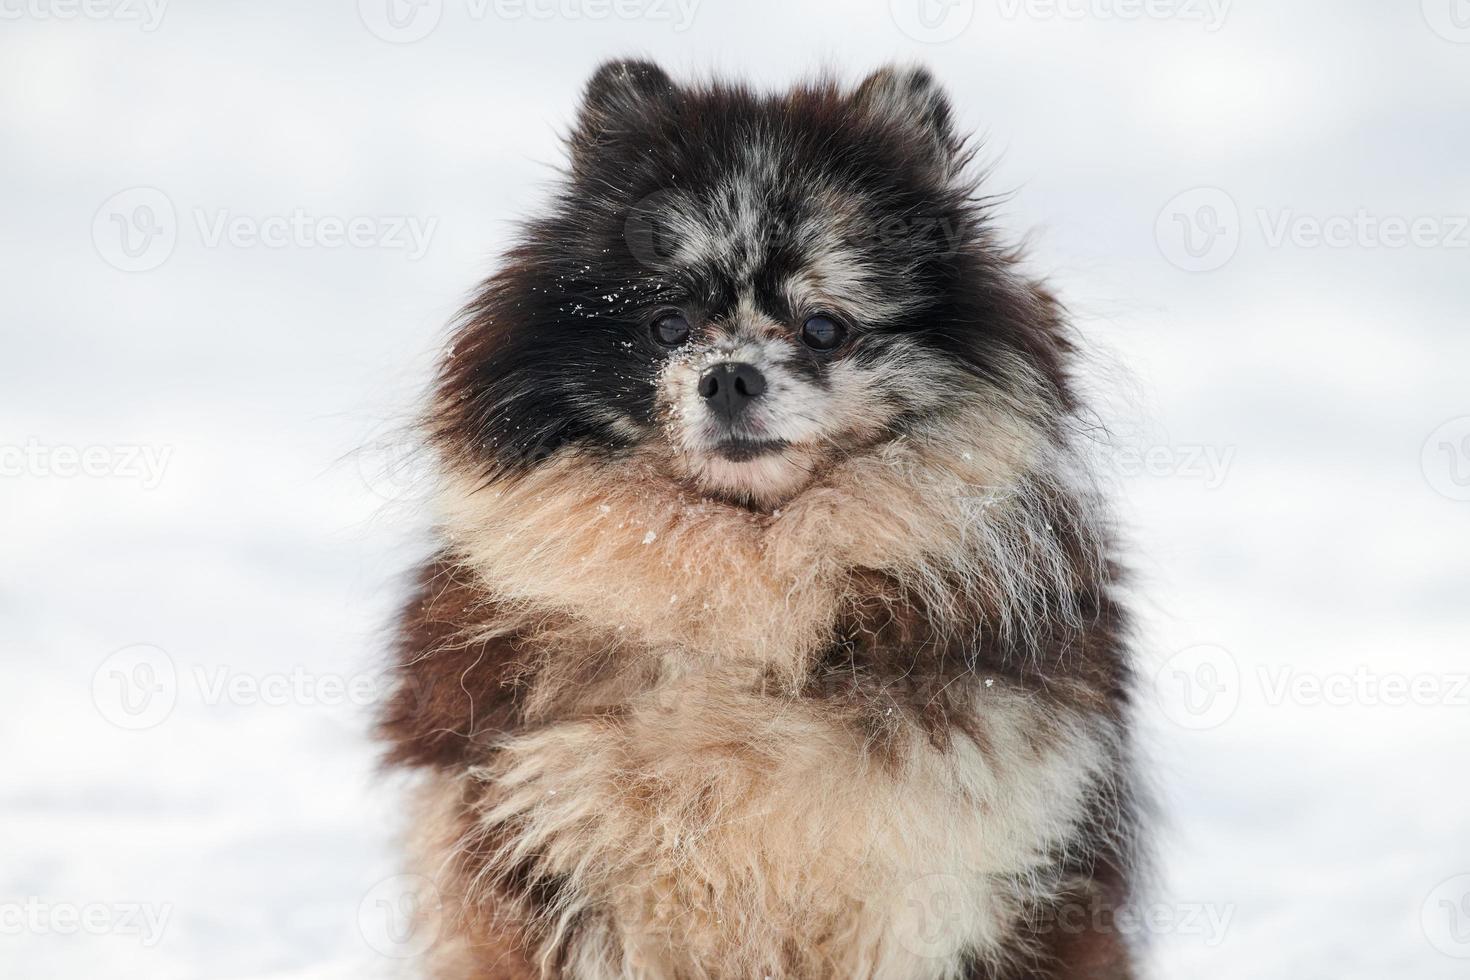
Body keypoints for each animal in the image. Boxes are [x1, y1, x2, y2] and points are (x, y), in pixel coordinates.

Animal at [376, 61, 1134, 980]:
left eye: (824, 327)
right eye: (668, 324)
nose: (730, 375)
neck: (745, 581)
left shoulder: (936, 875)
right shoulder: (558, 843)